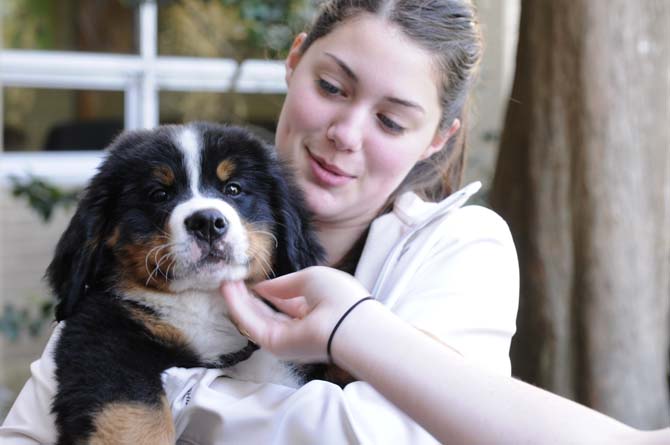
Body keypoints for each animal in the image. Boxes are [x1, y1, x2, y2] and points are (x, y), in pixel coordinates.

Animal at [46, 121, 324, 444]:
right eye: (159, 194)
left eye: (233, 189)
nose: (207, 222)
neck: (202, 304)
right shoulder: (101, 334)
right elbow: (136, 414)